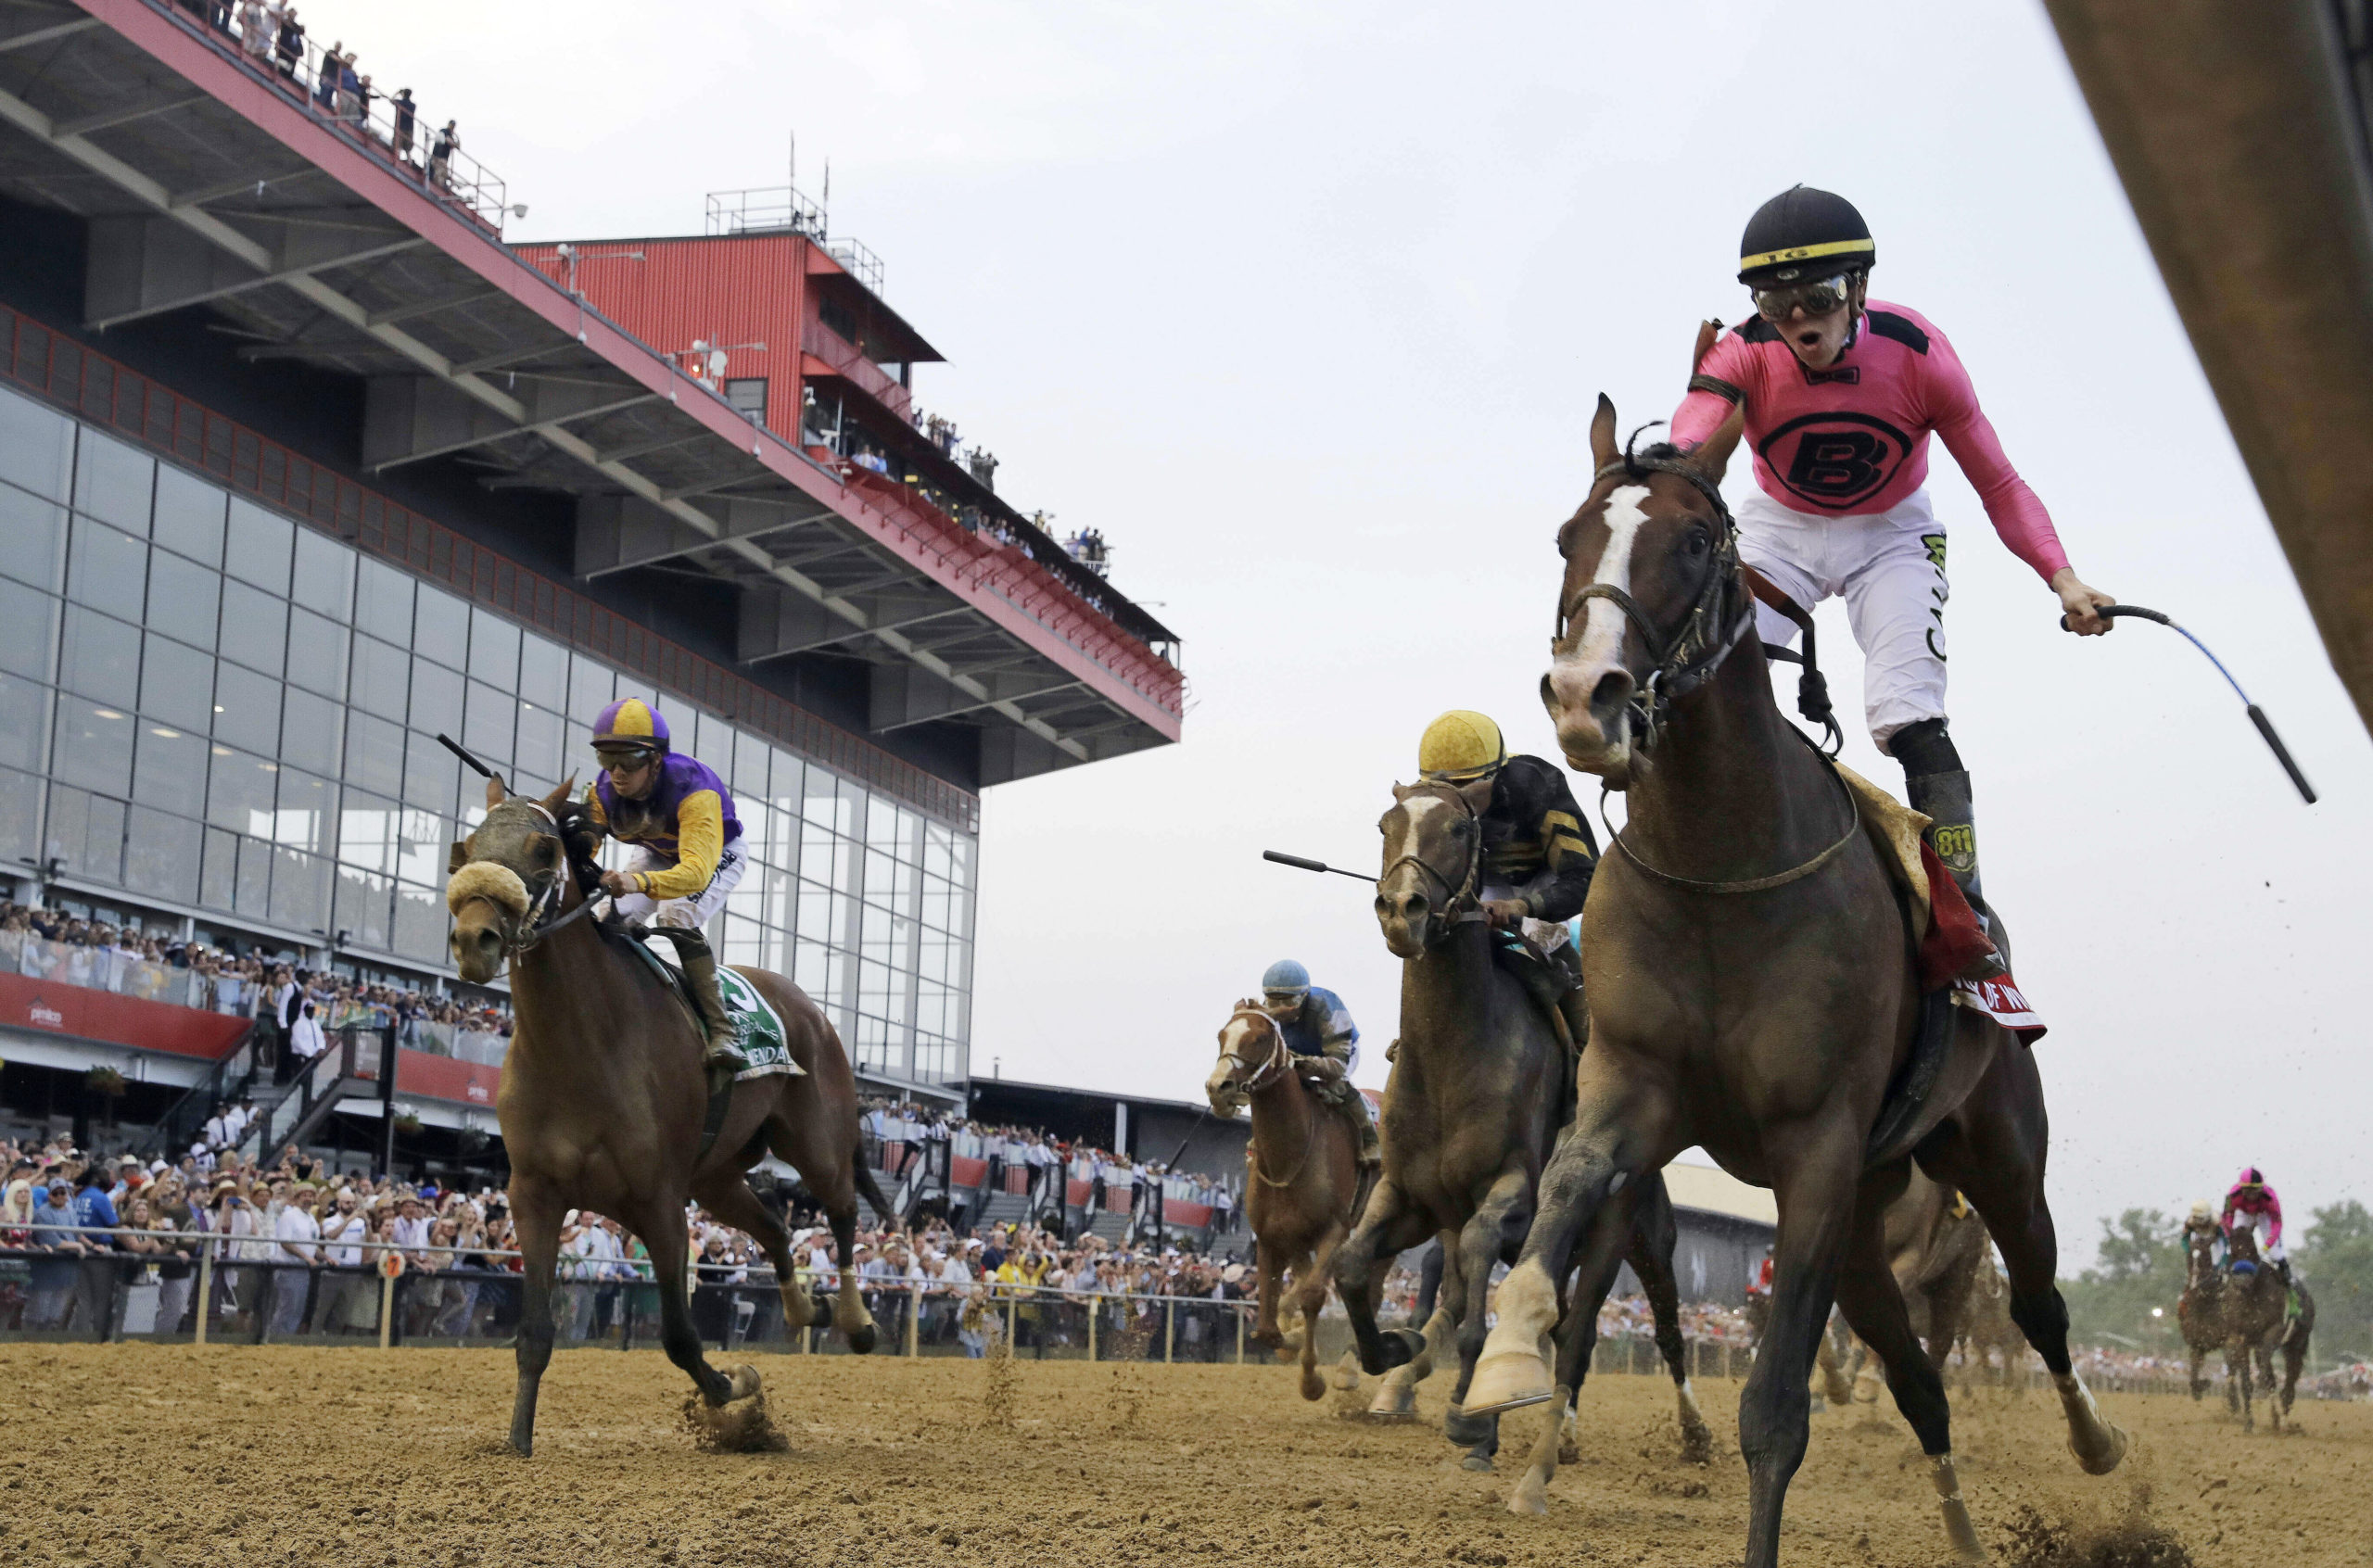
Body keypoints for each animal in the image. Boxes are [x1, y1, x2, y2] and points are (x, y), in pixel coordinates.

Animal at [446, 773, 892, 1451]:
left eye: (543, 850)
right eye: (467, 849)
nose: (475, 940)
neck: (581, 1046)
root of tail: (809, 1009)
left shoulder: (659, 1201)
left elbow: (681, 1336)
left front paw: (736, 1389)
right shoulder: (534, 1195)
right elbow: (535, 1334)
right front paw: (517, 1442)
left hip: (816, 1144)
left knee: (841, 1213)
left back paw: (854, 1319)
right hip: (716, 1178)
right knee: (776, 1225)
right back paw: (799, 1306)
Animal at [1205, 1010, 1376, 1404]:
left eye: (1260, 1038)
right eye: (1222, 1035)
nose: (1219, 1088)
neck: (1291, 1154)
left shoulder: (1335, 1230)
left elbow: (1313, 1295)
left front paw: (1311, 1379)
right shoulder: (1270, 1237)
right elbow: (1268, 1323)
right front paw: (1290, 1339)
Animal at [1461, 403, 2136, 1565]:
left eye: (1694, 541)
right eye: (1565, 539)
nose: (1585, 695)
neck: (1722, 863)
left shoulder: (1816, 1144)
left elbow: (1774, 1412)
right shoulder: (1636, 1090)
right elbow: (1567, 1193)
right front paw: (1508, 1360)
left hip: (1994, 1157)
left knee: (2039, 1305)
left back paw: (2093, 1444)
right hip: (1867, 1216)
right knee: (1915, 1377)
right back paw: (1962, 1530)